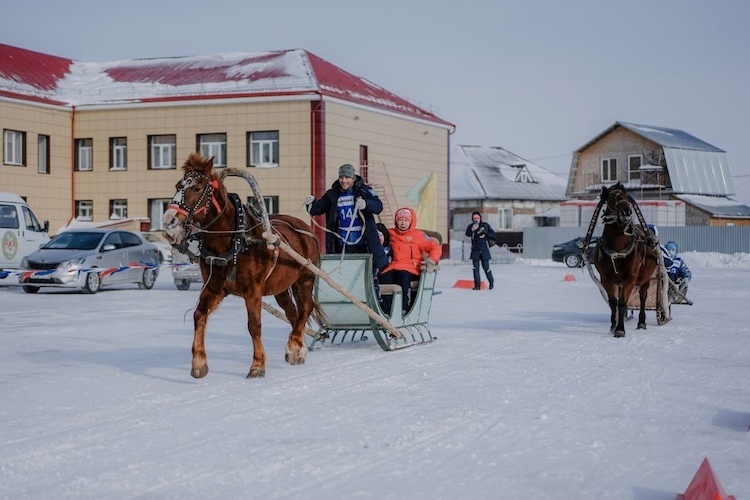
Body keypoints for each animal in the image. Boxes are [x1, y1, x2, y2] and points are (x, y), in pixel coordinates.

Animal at [163, 153, 322, 378]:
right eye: (178, 185)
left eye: (197, 188)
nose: (169, 221)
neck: (234, 242)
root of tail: (305, 228)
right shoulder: (214, 287)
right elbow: (199, 315)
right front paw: (198, 362)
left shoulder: (253, 290)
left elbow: (254, 325)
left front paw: (257, 365)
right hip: (281, 287)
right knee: (293, 312)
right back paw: (298, 350)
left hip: (305, 279)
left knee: (305, 309)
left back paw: (293, 344)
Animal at [596, 185, 660, 340]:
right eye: (611, 199)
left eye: (626, 197)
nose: (627, 211)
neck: (618, 250)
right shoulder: (606, 279)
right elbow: (614, 303)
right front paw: (613, 325)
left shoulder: (630, 279)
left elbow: (623, 303)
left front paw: (620, 329)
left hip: (645, 279)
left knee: (643, 296)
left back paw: (642, 322)